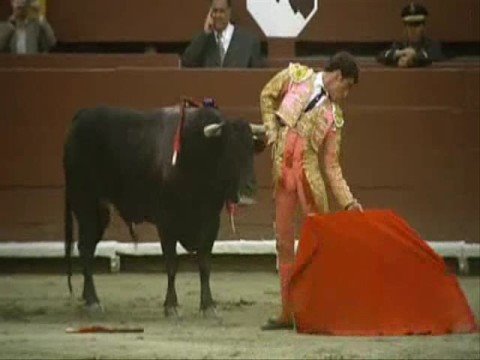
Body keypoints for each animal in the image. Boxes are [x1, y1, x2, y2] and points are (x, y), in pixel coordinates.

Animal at [62, 105, 266, 316]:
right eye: (229, 150)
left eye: (251, 150)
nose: (248, 190)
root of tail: (82, 116)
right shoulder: (166, 222)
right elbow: (171, 263)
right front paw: (171, 306)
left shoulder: (210, 221)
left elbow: (204, 263)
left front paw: (208, 305)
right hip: (85, 203)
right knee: (85, 248)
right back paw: (93, 301)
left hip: (100, 212)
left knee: (88, 246)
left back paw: (87, 297)